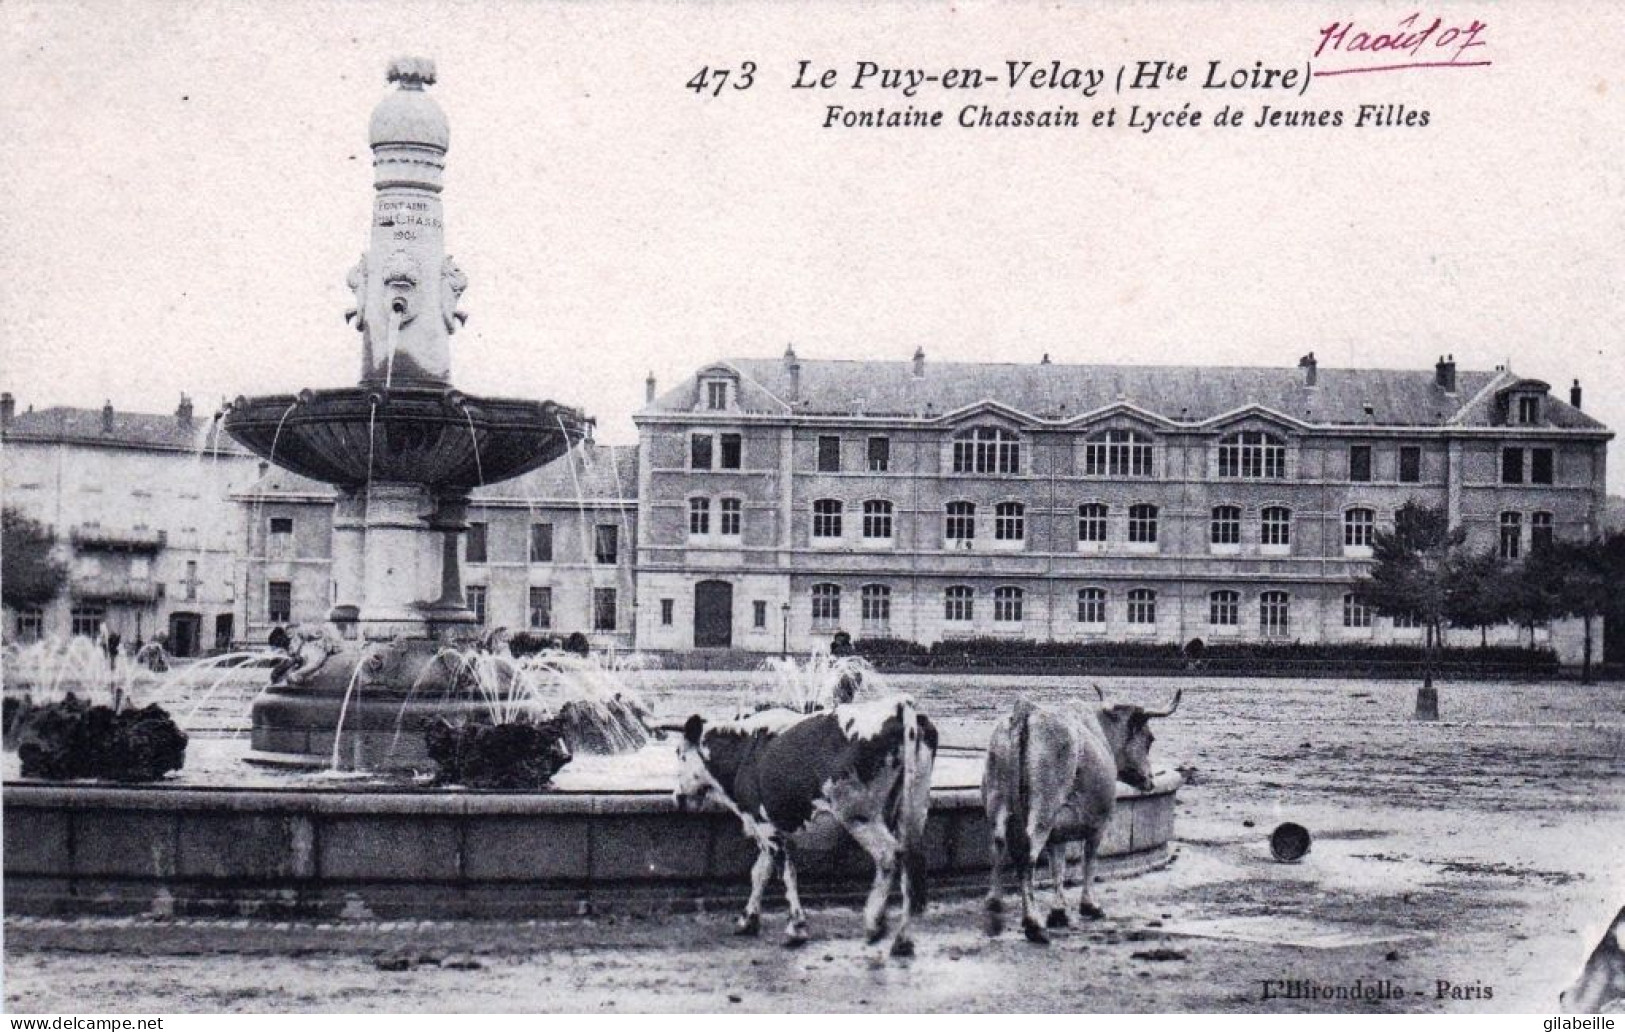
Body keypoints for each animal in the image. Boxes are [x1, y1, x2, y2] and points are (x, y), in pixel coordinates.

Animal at [669, 698, 936, 955]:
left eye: (680, 753)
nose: (677, 797)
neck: (743, 750)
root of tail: (899, 705)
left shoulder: (765, 826)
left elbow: (786, 873)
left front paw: (796, 928)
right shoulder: (771, 829)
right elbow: (760, 872)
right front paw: (748, 921)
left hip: (858, 815)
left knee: (889, 856)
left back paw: (874, 923)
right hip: (913, 809)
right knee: (910, 863)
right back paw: (902, 941)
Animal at [975, 685, 1183, 942]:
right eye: (1149, 739)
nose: (1150, 780)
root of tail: (1026, 712)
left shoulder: (1058, 832)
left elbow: (1058, 866)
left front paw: (1059, 911)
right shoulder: (1098, 824)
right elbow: (1089, 861)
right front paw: (1090, 905)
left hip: (998, 800)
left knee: (998, 843)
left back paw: (994, 900)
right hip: (1043, 811)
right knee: (1028, 854)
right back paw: (1032, 922)